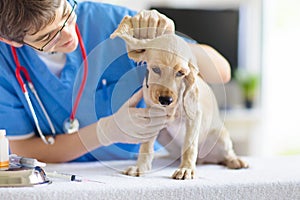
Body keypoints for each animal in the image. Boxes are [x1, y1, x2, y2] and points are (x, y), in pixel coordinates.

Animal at [110, 16, 248, 180]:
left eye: (181, 73)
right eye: (156, 69)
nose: (166, 100)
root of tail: (203, 160)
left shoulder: (194, 116)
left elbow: (189, 145)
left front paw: (186, 169)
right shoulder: (152, 117)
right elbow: (146, 145)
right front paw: (140, 167)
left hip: (221, 137)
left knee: (226, 154)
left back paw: (235, 160)